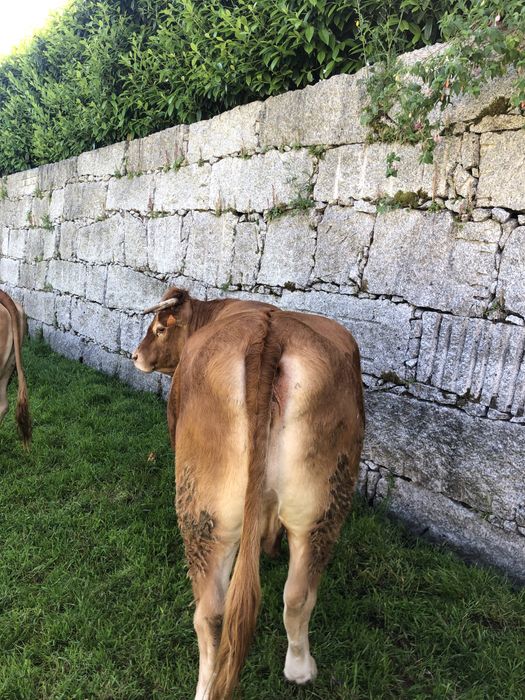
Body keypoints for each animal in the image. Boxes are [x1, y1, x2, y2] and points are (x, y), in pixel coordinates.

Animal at [132, 287, 365, 700]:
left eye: (158, 328)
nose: (135, 356)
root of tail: (268, 333)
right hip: (320, 503)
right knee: (298, 594)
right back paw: (300, 668)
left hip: (205, 512)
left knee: (211, 615)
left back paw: (206, 688)